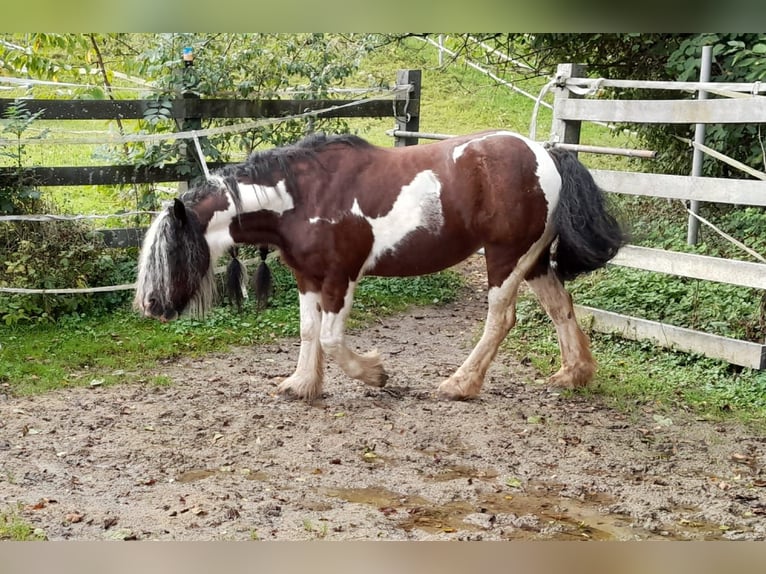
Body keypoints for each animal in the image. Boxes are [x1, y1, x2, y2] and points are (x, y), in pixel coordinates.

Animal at [134, 130, 624, 402]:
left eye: (169, 251)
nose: (151, 306)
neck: (302, 197)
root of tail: (546, 154)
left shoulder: (341, 276)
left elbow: (331, 339)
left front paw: (375, 373)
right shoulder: (307, 277)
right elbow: (309, 332)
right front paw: (302, 384)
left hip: (505, 258)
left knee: (501, 319)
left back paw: (460, 384)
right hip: (534, 259)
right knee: (560, 307)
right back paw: (573, 374)